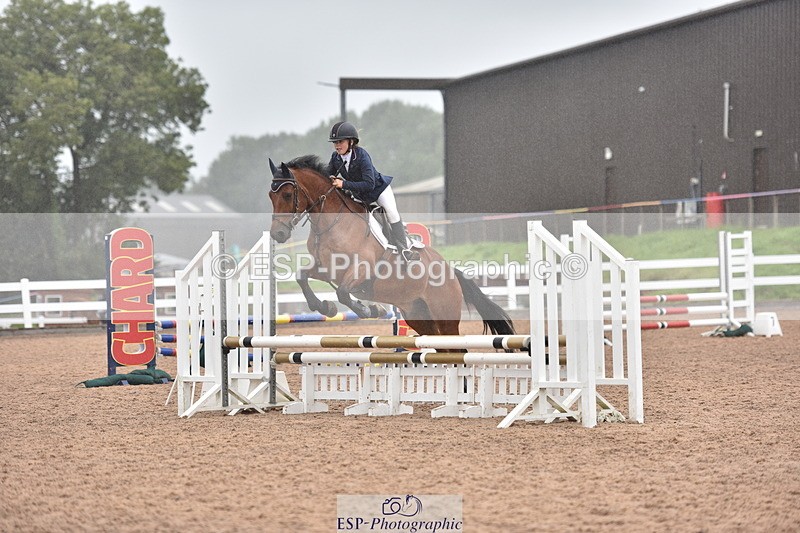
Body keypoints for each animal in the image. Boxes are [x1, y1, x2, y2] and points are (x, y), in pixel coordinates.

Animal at [267, 155, 515, 337]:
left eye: (288, 194)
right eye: (271, 196)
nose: (277, 234)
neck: (331, 223)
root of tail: (450, 271)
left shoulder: (361, 268)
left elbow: (343, 293)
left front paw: (370, 309)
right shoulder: (326, 268)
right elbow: (302, 277)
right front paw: (326, 307)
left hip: (445, 316)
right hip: (418, 315)